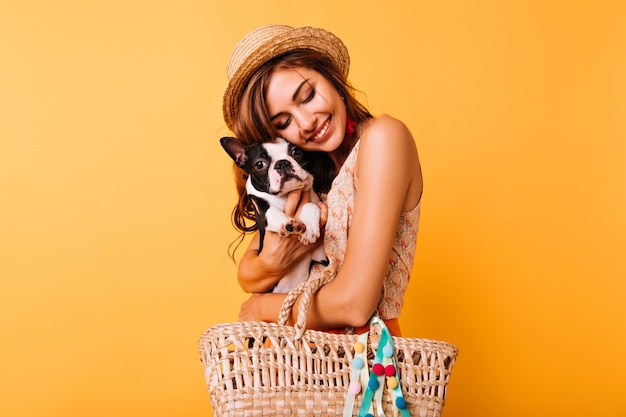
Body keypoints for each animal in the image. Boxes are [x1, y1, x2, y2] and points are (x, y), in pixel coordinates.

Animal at [219, 136, 326, 292]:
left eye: (296, 151)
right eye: (260, 164)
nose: (282, 163)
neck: (285, 196)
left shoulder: (321, 254)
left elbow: (310, 205)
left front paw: (310, 229)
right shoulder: (262, 212)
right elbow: (273, 213)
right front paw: (288, 224)